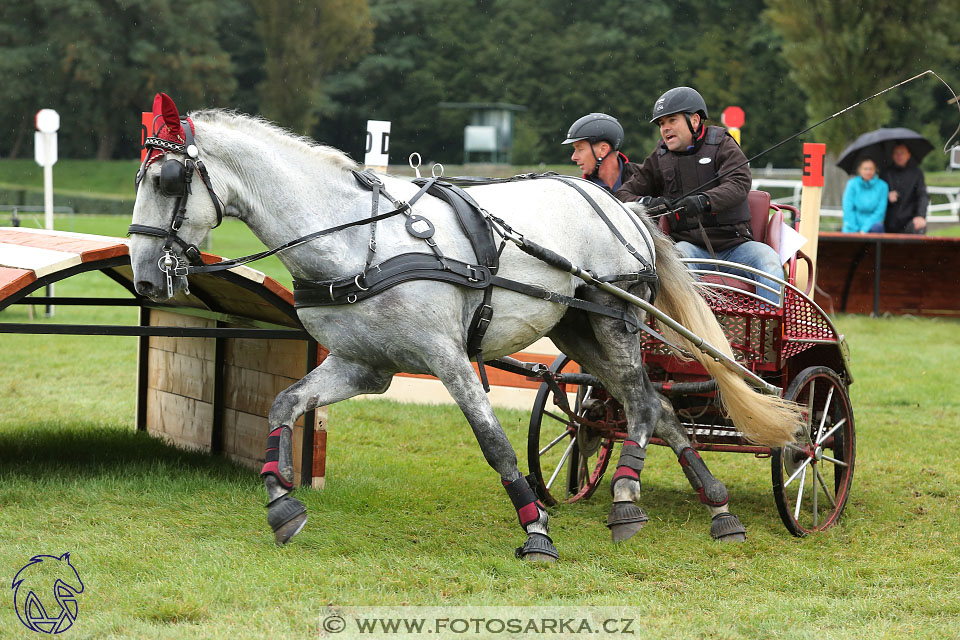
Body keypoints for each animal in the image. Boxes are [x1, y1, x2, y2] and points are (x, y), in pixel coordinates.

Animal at [129, 97, 804, 564]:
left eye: (165, 181)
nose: (143, 277)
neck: (356, 240)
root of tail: (626, 206)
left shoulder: (447, 357)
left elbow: (494, 443)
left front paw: (536, 531)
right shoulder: (362, 366)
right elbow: (282, 404)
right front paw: (280, 500)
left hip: (616, 317)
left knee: (640, 403)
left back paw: (627, 498)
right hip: (578, 331)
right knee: (658, 404)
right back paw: (716, 506)